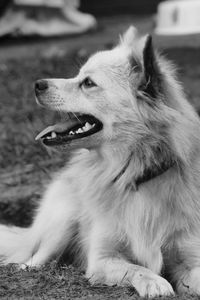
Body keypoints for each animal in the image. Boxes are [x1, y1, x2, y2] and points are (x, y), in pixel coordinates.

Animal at [0, 26, 200, 298]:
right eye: (79, 76)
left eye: (88, 83)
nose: (37, 84)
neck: (133, 174)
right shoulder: (102, 259)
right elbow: (138, 268)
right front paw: (155, 282)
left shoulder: (190, 256)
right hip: (64, 219)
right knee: (33, 258)